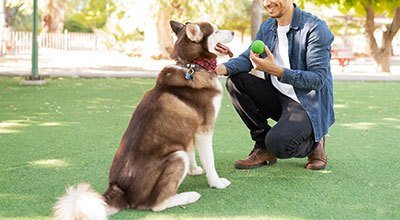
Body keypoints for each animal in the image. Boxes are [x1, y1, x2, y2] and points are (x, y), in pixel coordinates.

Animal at [53, 19, 234, 219]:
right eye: (216, 30)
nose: (234, 32)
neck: (191, 65)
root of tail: (120, 190)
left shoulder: (191, 130)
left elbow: (192, 151)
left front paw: (194, 170)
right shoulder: (204, 129)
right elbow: (209, 160)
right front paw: (216, 182)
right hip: (177, 156)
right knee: (156, 204)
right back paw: (188, 196)